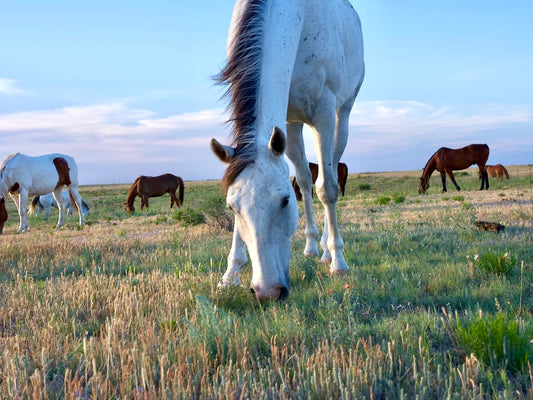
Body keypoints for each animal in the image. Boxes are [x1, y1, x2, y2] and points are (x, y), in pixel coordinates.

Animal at [210, 0, 364, 300]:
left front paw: (339, 262)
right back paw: (312, 246)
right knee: (304, 179)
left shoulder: (324, 112)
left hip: (341, 115)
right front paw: (230, 274)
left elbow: (328, 188)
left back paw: (327, 250)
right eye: (232, 207)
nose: (267, 291)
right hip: (292, 127)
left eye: (284, 201)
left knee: (328, 174)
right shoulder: (284, 123)